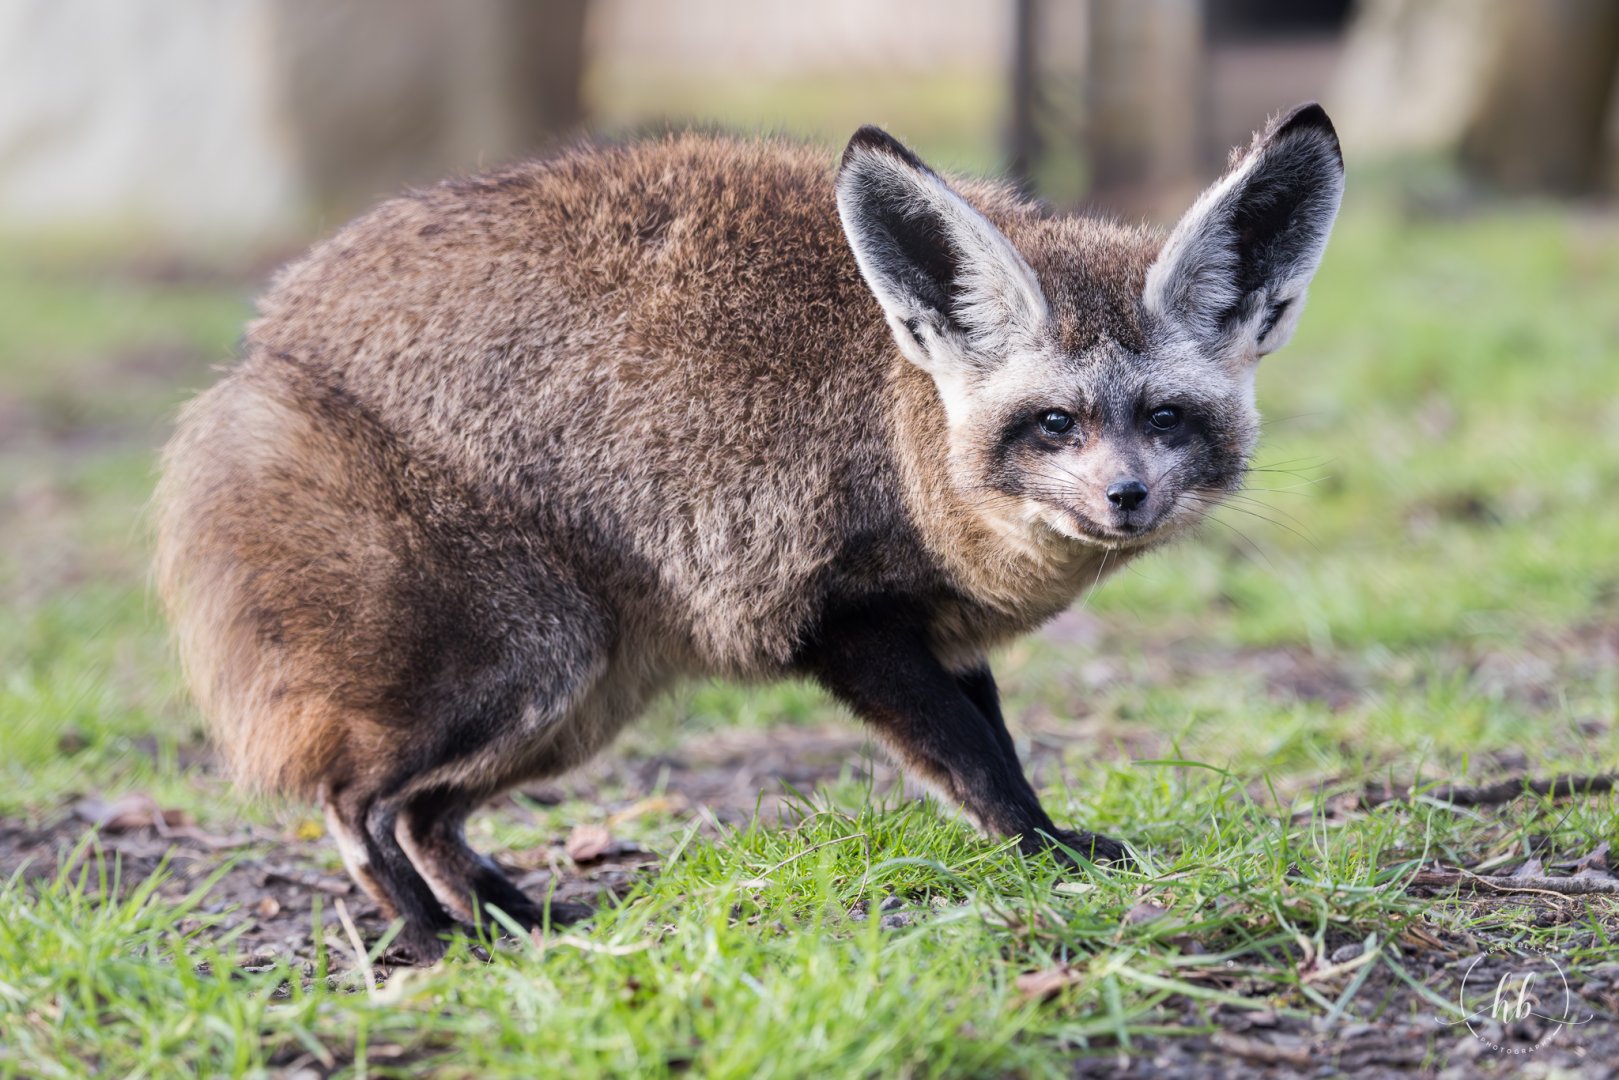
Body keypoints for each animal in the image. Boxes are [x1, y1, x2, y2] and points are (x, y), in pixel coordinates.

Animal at [155, 104, 1343, 964]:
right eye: (1054, 423)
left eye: (1164, 419)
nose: (1124, 497)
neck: (897, 422)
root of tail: (258, 353)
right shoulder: (837, 619)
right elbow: (971, 763)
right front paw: (1048, 856)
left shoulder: (944, 635)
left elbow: (995, 747)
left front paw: (1048, 843)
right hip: (533, 659)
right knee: (358, 804)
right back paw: (433, 938)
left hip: (577, 704)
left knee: (423, 817)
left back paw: (515, 920)